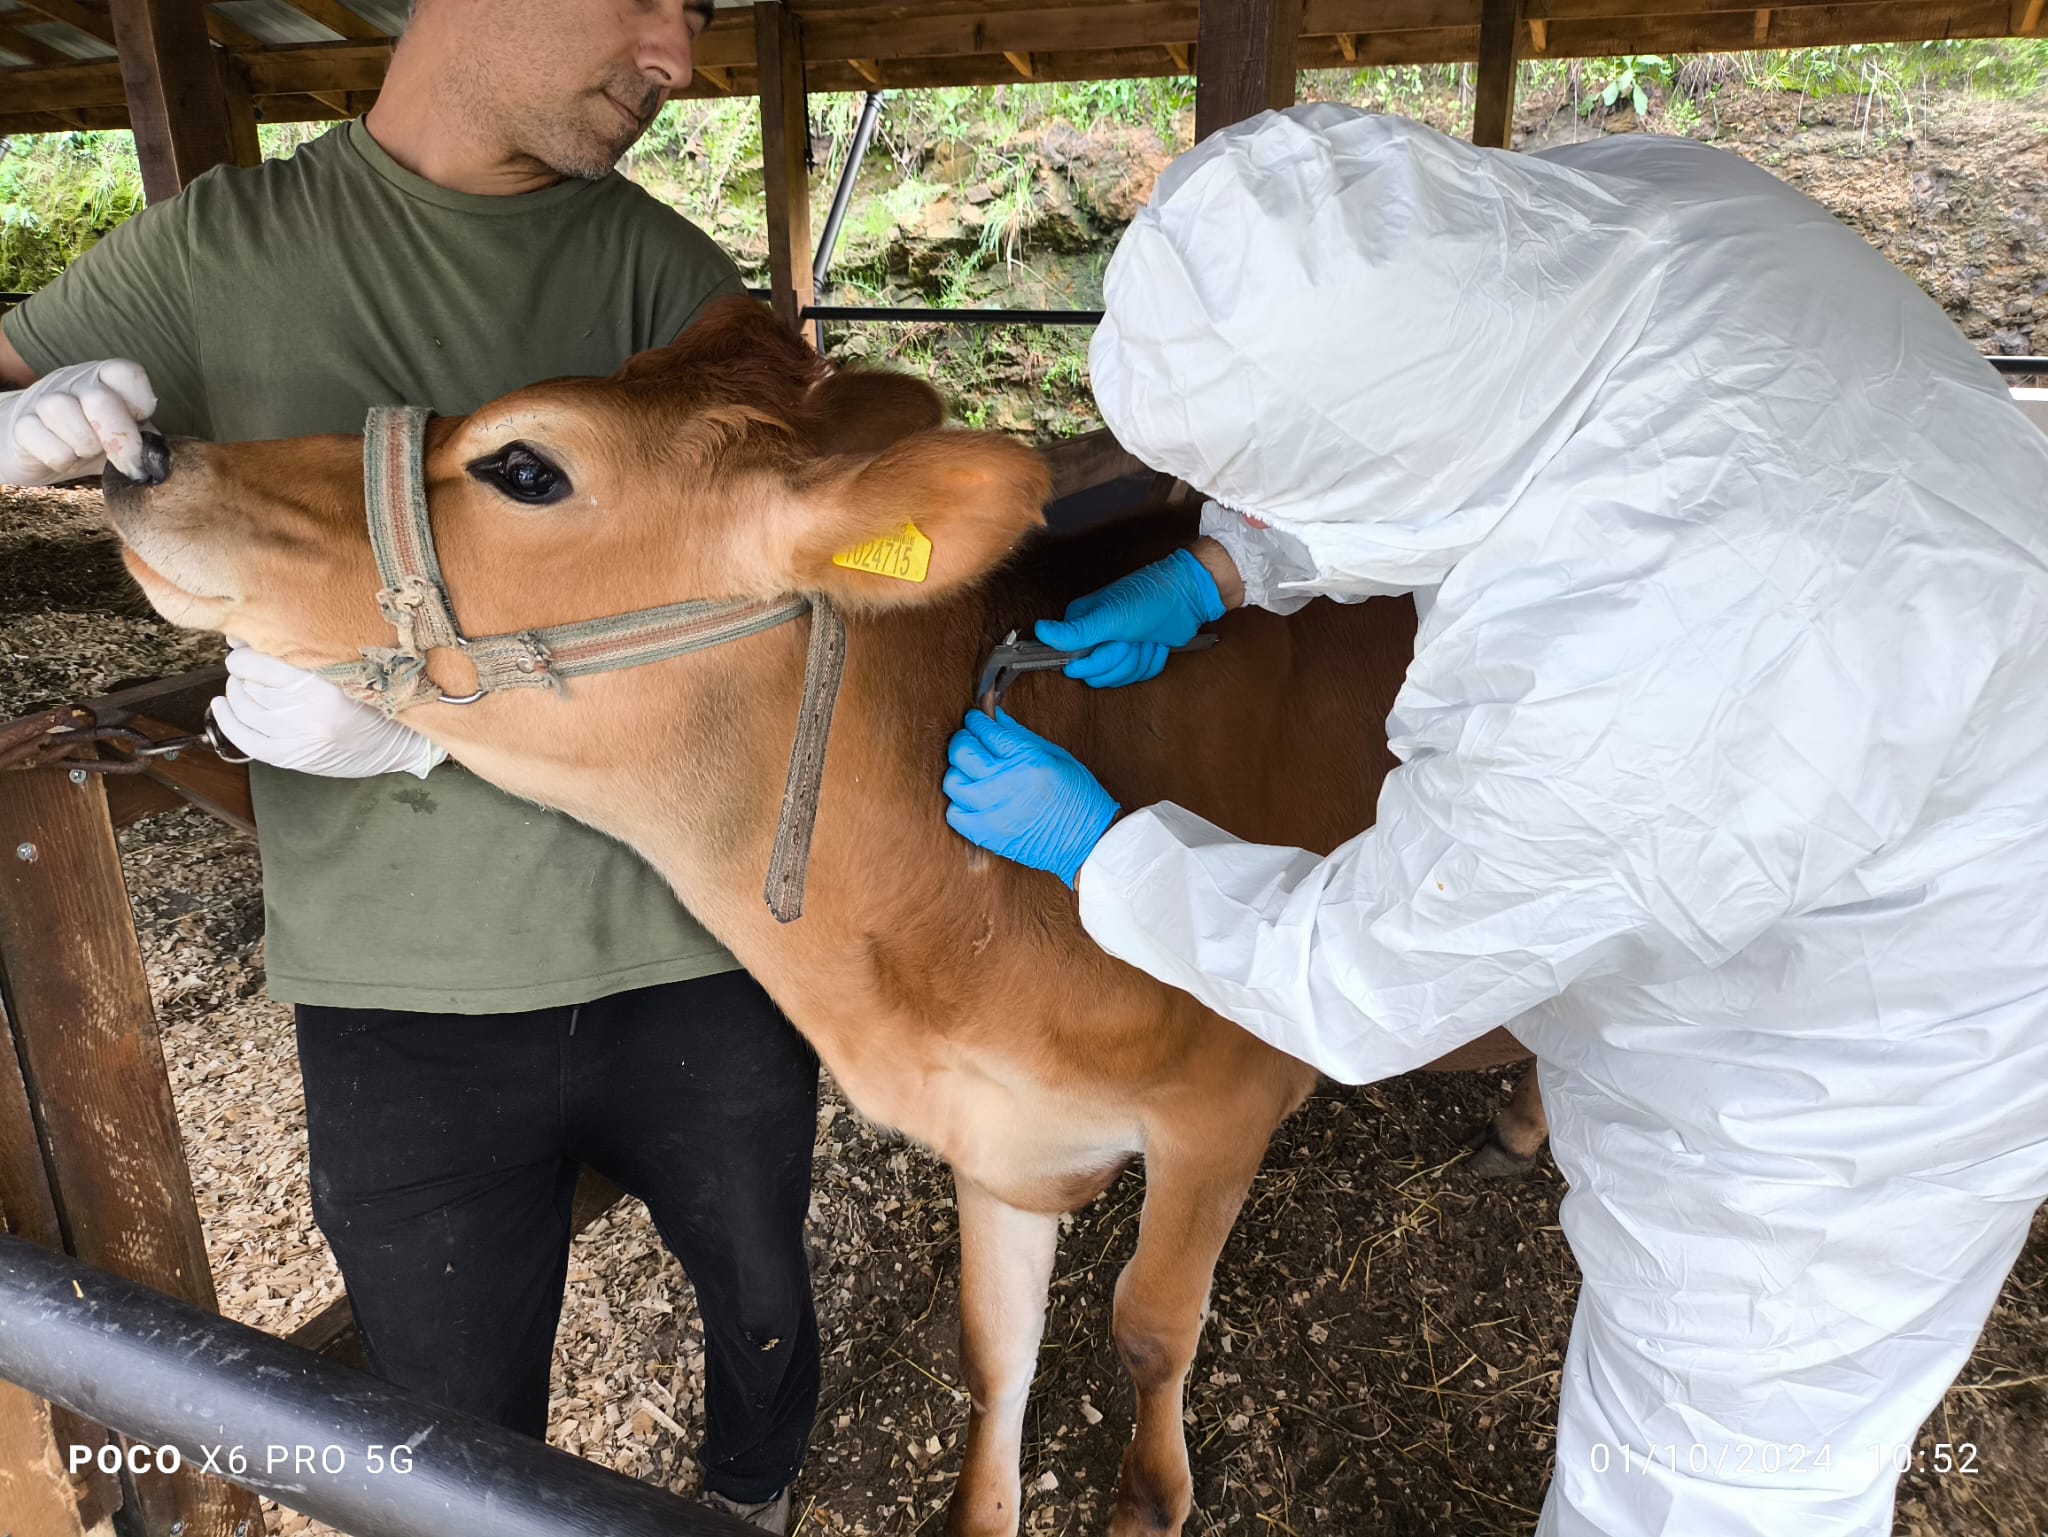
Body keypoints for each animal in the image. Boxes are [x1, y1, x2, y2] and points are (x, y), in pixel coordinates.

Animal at [99, 295, 1540, 1532]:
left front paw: (1149, 1500)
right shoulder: (992, 1123)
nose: (152, 455)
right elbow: (995, 1343)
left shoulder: (1225, 1103)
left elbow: (1149, 1327)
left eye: (524, 468)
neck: (935, 948)